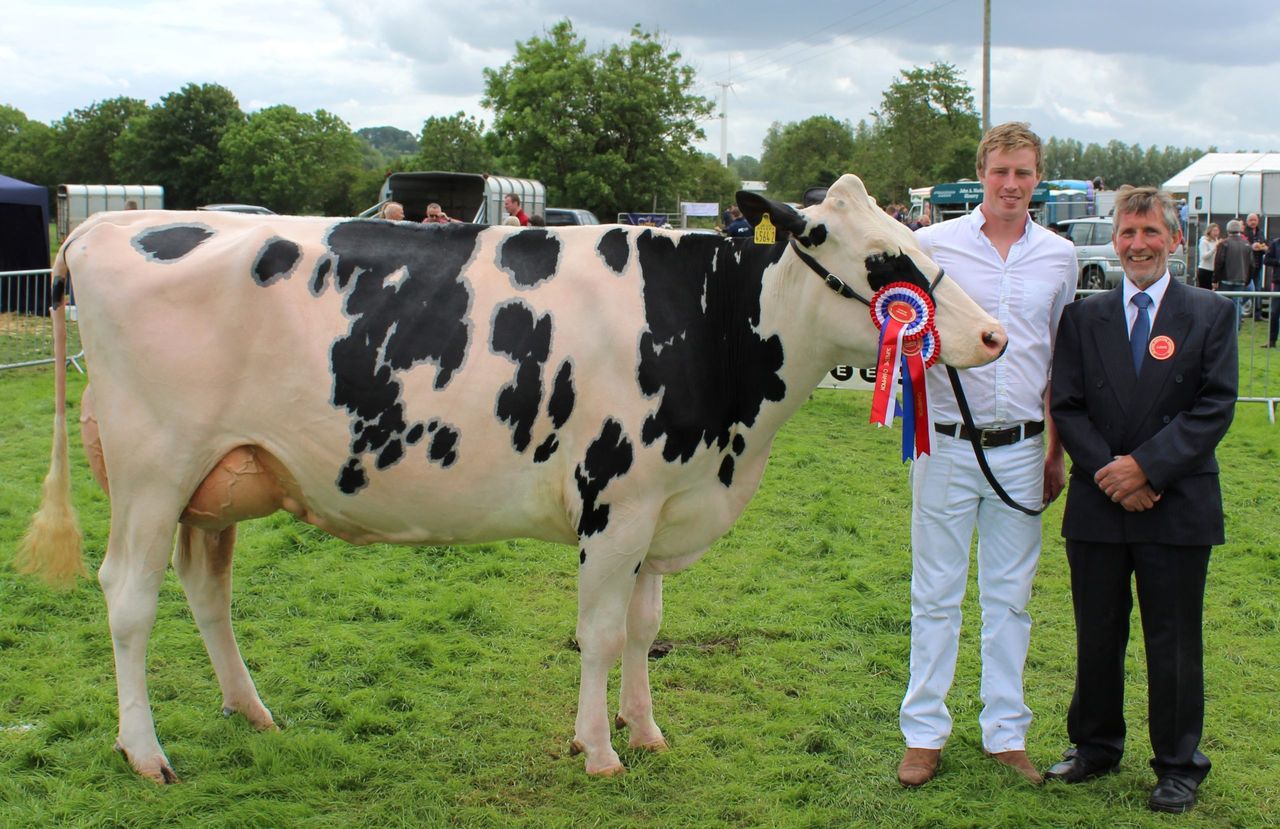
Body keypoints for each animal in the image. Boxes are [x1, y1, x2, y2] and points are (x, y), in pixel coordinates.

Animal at [19, 175, 1007, 783]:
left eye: (912, 242)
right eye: (881, 261)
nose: (994, 335)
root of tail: (103, 224)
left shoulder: (661, 506)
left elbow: (645, 629)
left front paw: (646, 730)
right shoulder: (615, 503)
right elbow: (600, 635)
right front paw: (599, 748)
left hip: (219, 481)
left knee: (206, 591)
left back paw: (250, 710)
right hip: (152, 470)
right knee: (129, 597)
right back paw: (144, 751)